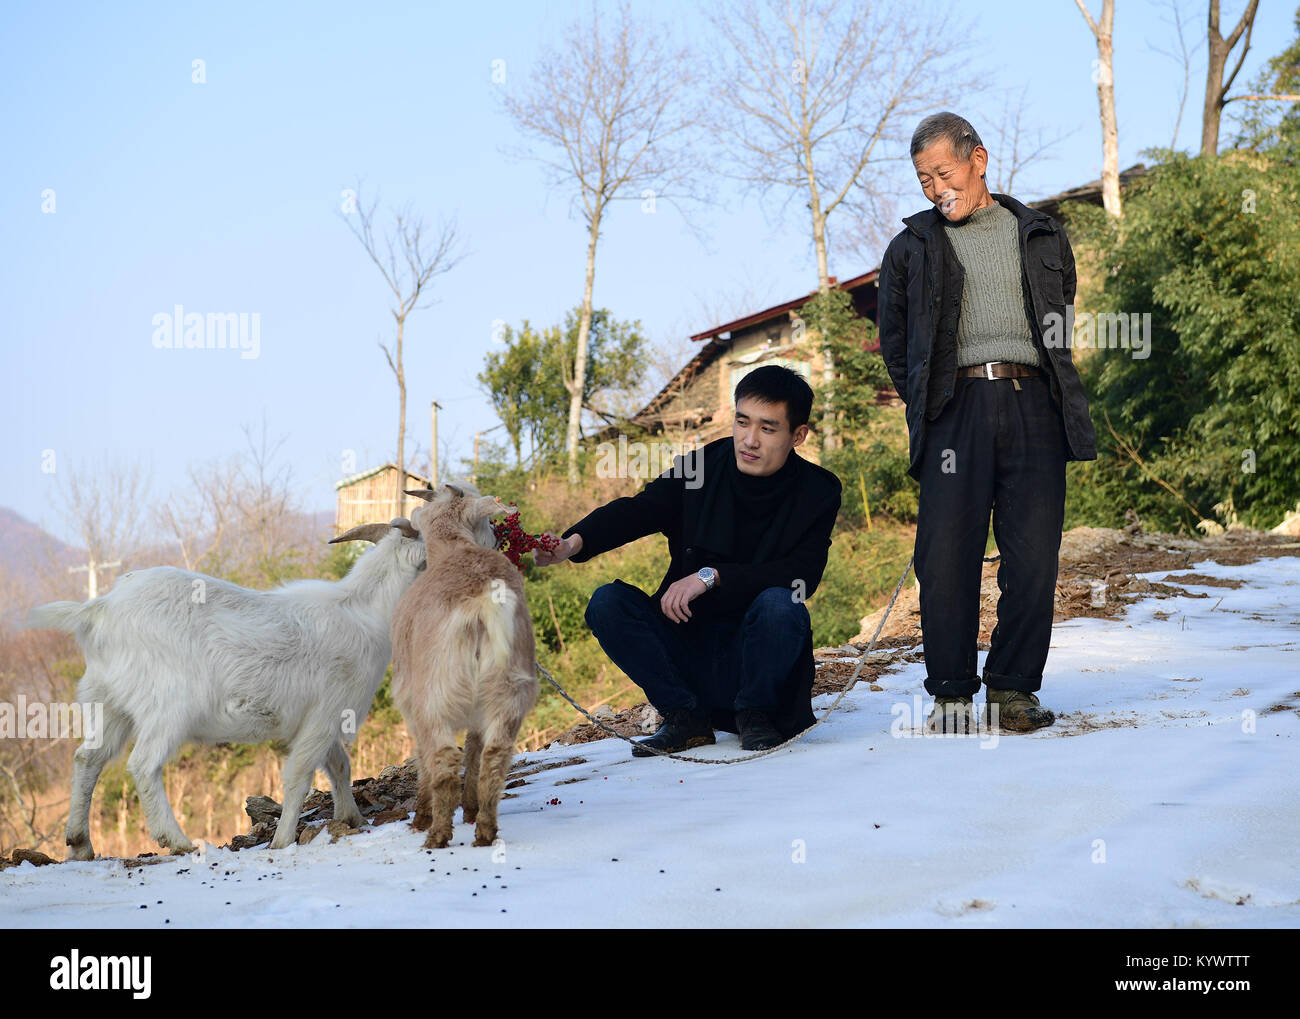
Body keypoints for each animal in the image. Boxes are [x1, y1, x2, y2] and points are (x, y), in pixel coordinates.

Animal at [30, 504, 496, 857]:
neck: (365, 612)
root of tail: (99, 610)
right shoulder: (325, 712)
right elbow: (300, 774)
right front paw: (284, 840)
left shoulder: (320, 718)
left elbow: (338, 765)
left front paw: (352, 817)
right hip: (167, 706)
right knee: (143, 764)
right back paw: (177, 841)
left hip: (107, 702)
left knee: (87, 759)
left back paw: (79, 843)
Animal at [392, 480, 540, 847]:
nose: (498, 538)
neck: (454, 549)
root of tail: (481, 601)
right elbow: (474, 745)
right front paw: (469, 807)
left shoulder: (409, 701)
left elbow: (424, 757)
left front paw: (421, 815)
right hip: (509, 687)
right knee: (494, 753)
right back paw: (484, 827)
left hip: (434, 695)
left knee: (443, 757)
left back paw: (436, 834)